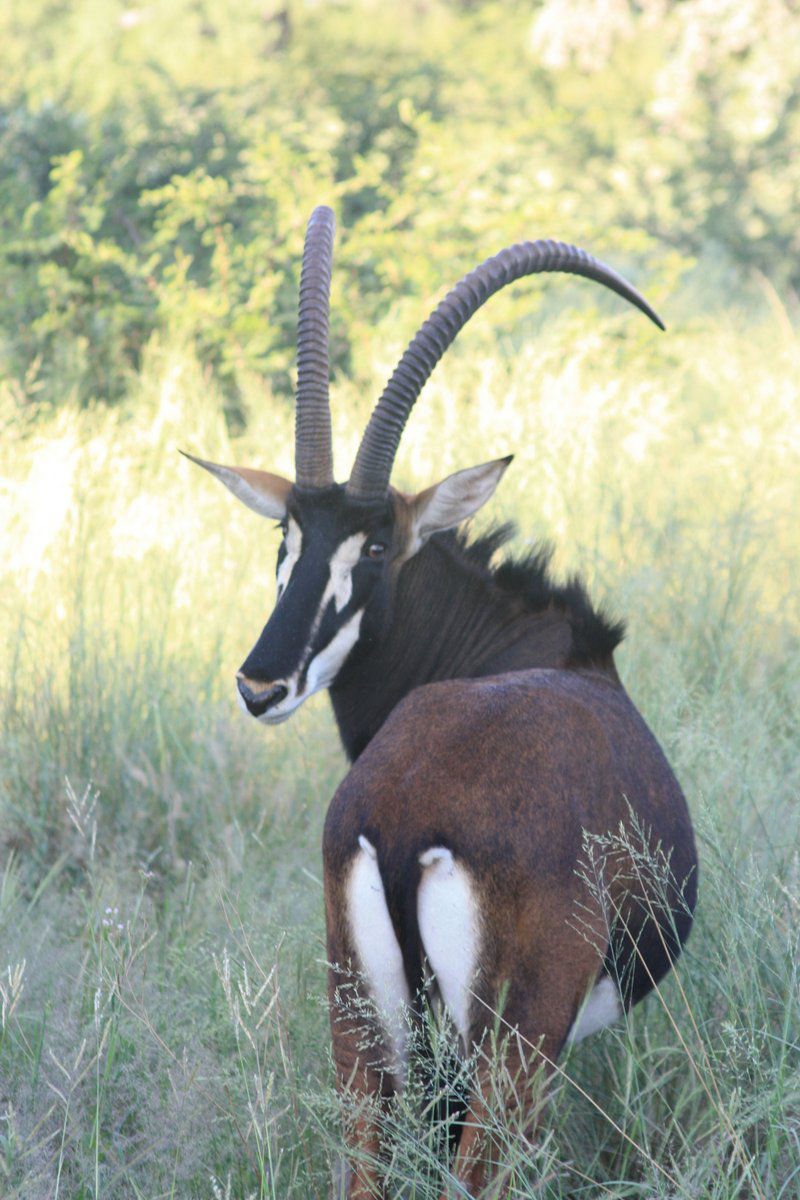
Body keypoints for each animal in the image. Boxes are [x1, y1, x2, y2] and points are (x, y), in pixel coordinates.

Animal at [185, 211, 695, 1195]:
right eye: (287, 538)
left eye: (375, 548)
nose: (261, 684)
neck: (533, 646)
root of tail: (404, 812)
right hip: (511, 1049)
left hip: (363, 1039)